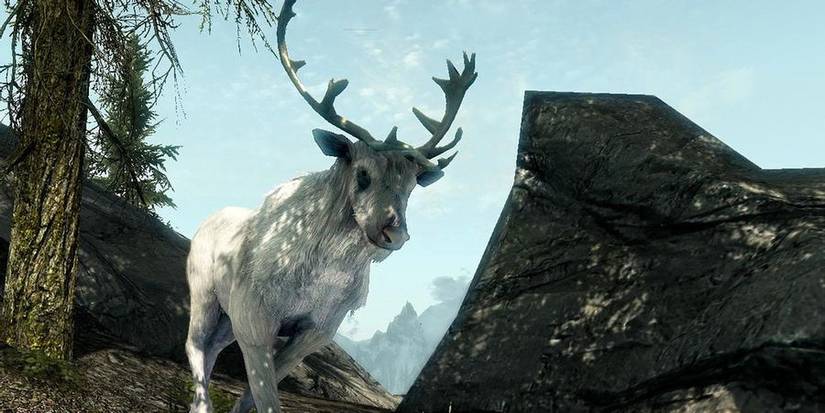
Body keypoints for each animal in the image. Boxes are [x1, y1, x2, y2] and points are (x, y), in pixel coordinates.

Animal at [184, 1, 476, 412]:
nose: (393, 232)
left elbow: (255, 395)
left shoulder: (317, 330)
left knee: (211, 349)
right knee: (196, 346)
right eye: (363, 173)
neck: (323, 275)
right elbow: (266, 396)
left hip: (229, 318)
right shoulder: (255, 319)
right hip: (207, 297)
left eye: (411, 186)